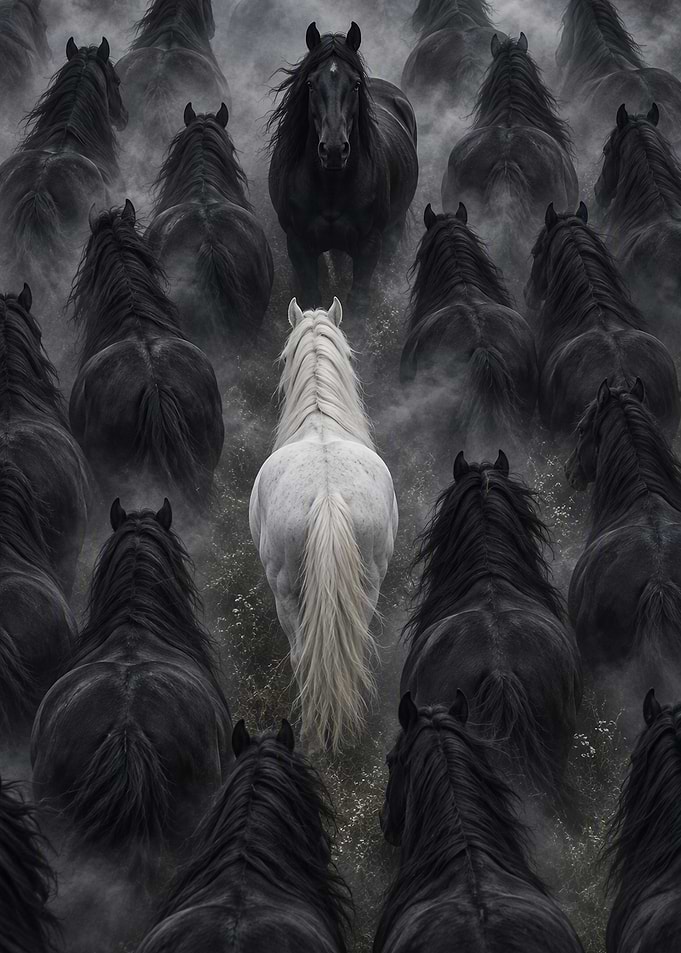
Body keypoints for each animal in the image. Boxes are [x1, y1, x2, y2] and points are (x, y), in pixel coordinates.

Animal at [267, 22, 418, 310]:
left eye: (356, 84)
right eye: (311, 84)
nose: (334, 150)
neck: (332, 185)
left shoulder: (370, 245)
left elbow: (357, 301)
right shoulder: (299, 244)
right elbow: (312, 297)